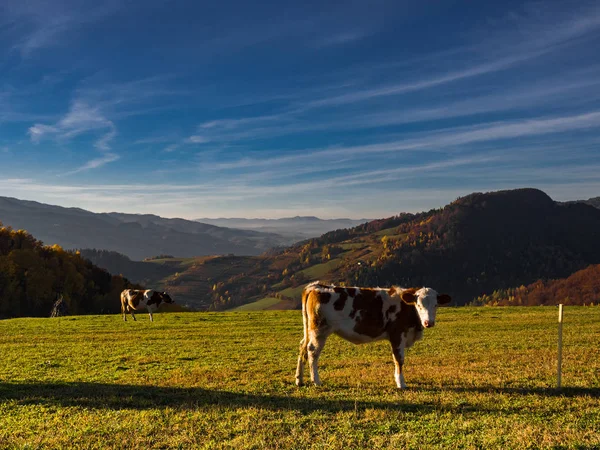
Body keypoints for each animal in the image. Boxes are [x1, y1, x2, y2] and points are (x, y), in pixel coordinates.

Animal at [296, 282, 450, 386]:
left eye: (436, 305)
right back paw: (316, 380)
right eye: (418, 305)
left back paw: (299, 379)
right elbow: (399, 359)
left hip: (309, 329)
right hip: (319, 330)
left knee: (302, 347)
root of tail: (315, 286)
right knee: (312, 351)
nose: (428, 322)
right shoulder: (397, 334)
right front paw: (401, 383)